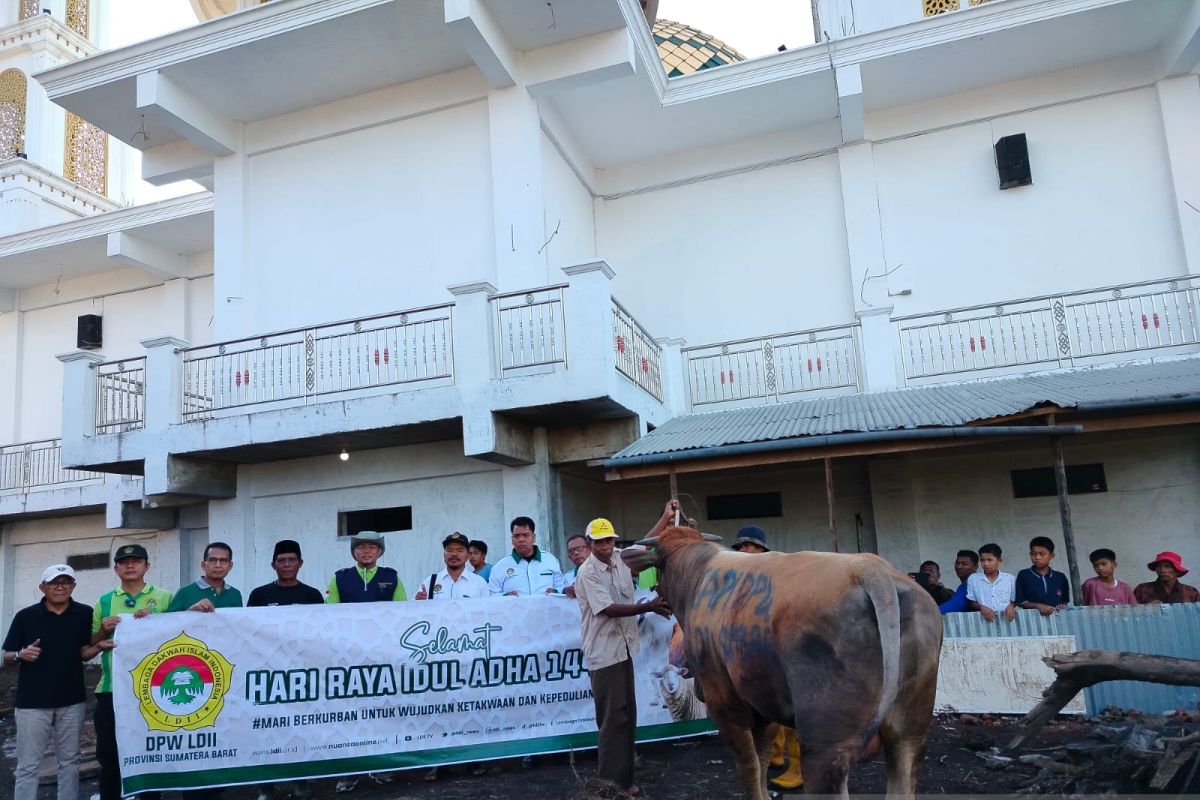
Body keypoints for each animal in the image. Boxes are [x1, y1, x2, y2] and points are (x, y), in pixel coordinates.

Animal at [624, 522, 940, 796]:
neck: (699, 574)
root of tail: (868, 567)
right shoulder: (766, 704)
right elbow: (763, 760)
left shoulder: (724, 702)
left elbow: (749, 766)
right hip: (910, 732)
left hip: (826, 743)